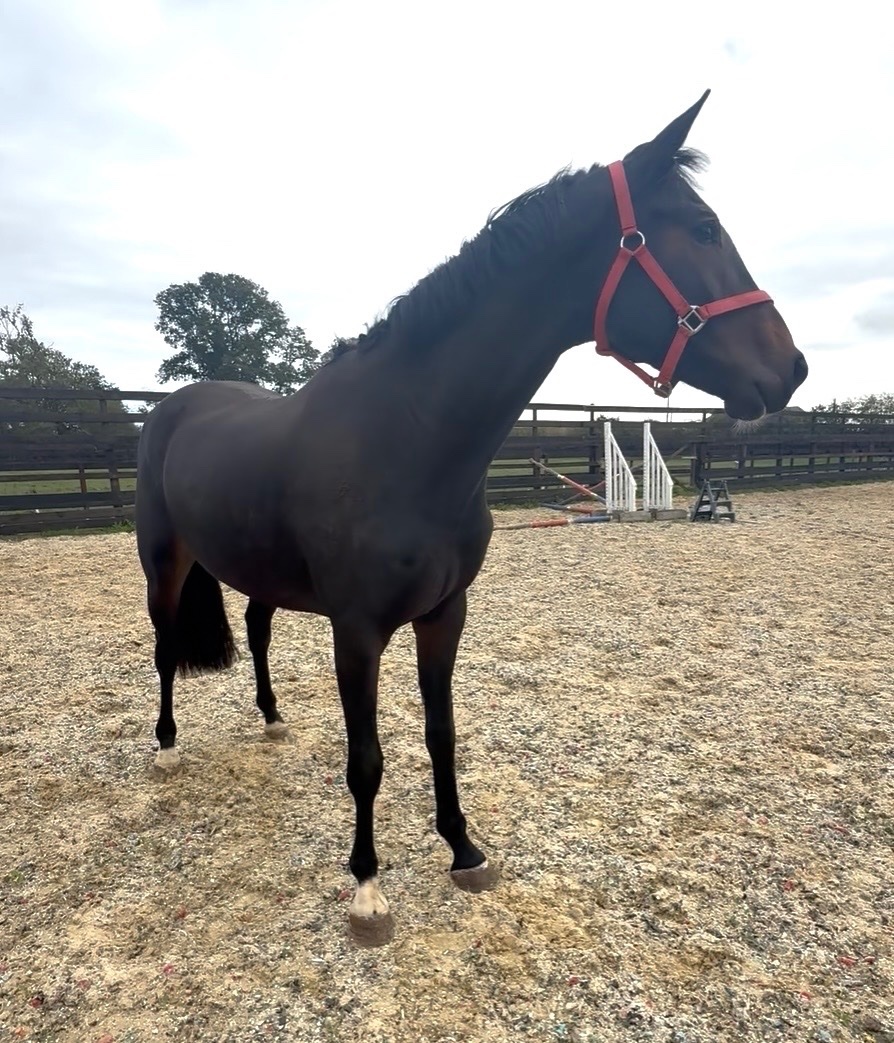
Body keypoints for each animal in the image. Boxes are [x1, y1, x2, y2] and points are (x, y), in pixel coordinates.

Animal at [135, 90, 808, 946]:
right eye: (702, 229)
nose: (791, 369)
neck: (407, 436)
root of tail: (170, 409)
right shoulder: (357, 629)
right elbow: (367, 758)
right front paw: (367, 887)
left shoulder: (445, 613)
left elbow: (440, 733)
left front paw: (463, 849)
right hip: (165, 560)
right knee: (163, 647)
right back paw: (165, 749)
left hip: (259, 573)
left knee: (255, 630)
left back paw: (273, 718)